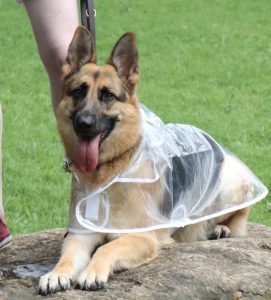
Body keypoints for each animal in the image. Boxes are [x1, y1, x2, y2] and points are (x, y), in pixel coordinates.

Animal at [38, 27, 251, 296]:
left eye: (107, 95)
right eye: (78, 92)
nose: (84, 123)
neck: (111, 170)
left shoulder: (142, 236)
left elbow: (106, 247)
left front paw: (93, 272)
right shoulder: (79, 235)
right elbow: (67, 257)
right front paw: (56, 274)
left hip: (231, 186)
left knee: (239, 219)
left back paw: (222, 228)